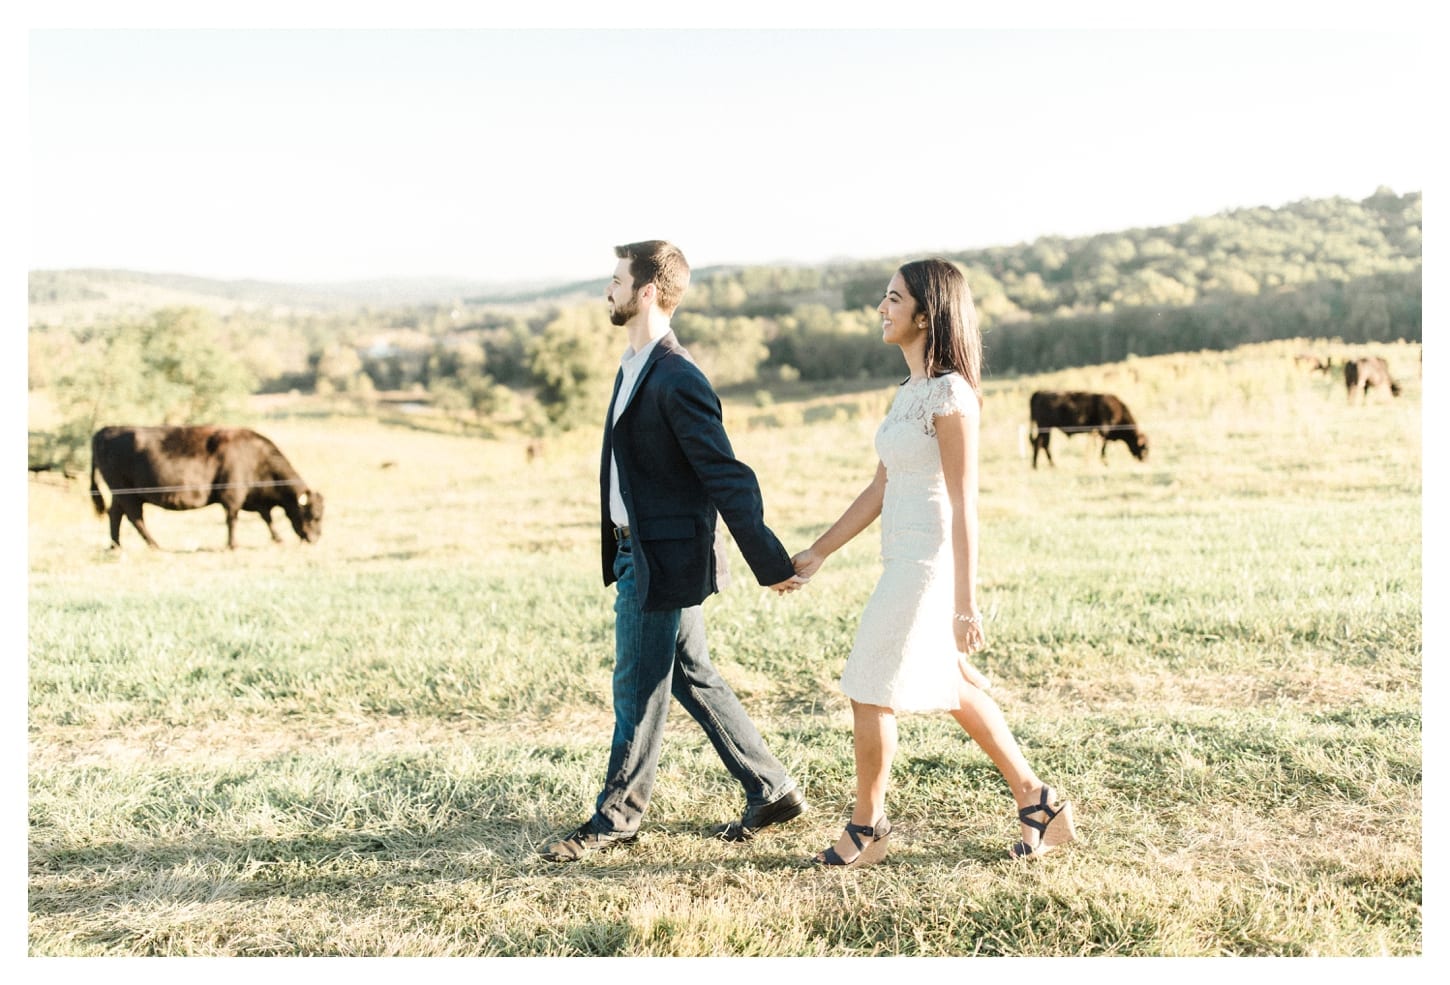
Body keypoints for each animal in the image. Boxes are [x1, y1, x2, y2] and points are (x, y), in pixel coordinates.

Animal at [92, 426, 327, 551]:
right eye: (314, 515)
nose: (315, 538)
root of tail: (107, 430)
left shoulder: (256, 499)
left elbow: (267, 518)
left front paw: (277, 538)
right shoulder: (233, 494)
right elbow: (232, 519)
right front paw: (232, 544)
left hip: (120, 494)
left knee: (115, 514)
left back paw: (115, 545)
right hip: (127, 492)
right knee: (135, 517)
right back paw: (154, 544)